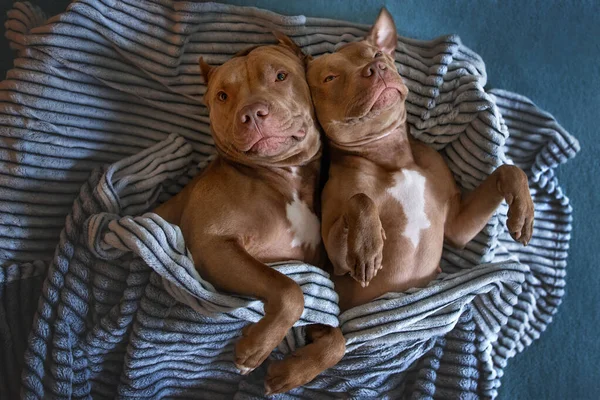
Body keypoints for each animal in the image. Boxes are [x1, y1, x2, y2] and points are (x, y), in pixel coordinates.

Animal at [152, 33, 344, 394]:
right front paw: (255, 350)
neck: (284, 175)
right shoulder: (213, 245)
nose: (253, 113)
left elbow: (337, 340)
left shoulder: (316, 279)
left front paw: (290, 373)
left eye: (281, 76)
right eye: (223, 96)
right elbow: (289, 290)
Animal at [310, 7, 536, 310]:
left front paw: (523, 212)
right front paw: (367, 246)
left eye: (376, 54)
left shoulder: (457, 228)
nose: (376, 68)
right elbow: (360, 199)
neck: (390, 155)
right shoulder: (337, 263)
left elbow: (508, 170)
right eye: (330, 78)